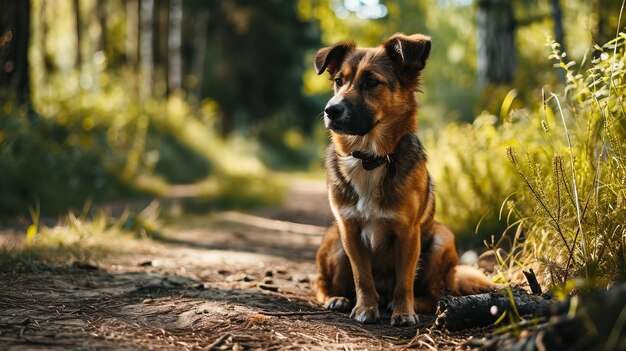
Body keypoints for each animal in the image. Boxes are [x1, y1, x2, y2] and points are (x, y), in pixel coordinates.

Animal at [312, 33, 492, 328]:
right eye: (339, 80)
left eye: (371, 82)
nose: (330, 110)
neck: (370, 158)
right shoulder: (349, 230)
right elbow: (363, 277)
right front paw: (365, 308)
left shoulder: (408, 233)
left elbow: (404, 280)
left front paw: (403, 312)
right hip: (334, 241)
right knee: (320, 283)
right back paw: (338, 298)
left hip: (442, 238)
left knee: (435, 295)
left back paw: (409, 305)